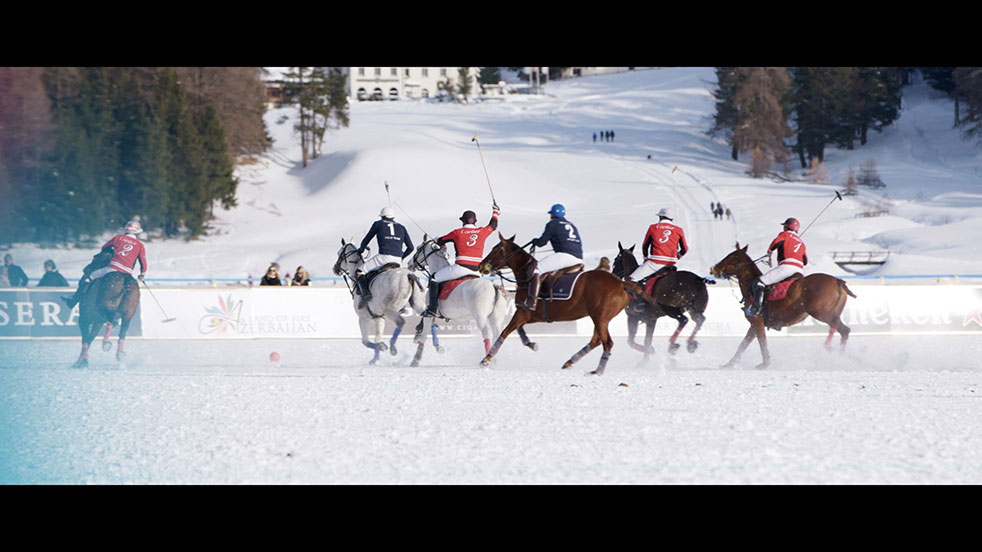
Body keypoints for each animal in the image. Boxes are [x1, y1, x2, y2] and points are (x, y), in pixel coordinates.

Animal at [412, 237, 540, 366]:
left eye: (418, 249)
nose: (410, 264)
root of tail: (494, 286)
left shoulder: (430, 313)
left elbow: (424, 334)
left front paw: (415, 360)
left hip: (479, 315)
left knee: (486, 332)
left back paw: (486, 362)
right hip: (496, 316)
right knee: (498, 334)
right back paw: (492, 359)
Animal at [478, 233, 656, 376]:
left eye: (495, 249)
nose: (480, 266)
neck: (526, 277)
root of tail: (620, 283)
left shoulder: (523, 312)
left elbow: (505, 332)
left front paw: (486, 359)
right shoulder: (530, 315)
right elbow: (519, 331)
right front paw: (532, 344)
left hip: (600, 317)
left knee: (607, 342)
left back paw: (597, 371)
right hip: (600, 317)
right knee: (596, 340)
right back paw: (570, 362)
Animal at [712, 244, 856, 368]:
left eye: (731, 257)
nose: (713, 269)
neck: (750, 287)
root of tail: (838, 281)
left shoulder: (757, 320)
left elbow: (762, 342)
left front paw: (765, 364)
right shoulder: (755, 323)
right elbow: (743, 344)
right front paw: (729, 364)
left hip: (822, 314)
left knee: (844, 331)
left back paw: (839, 358)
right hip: (833, 314)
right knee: (838, 330)